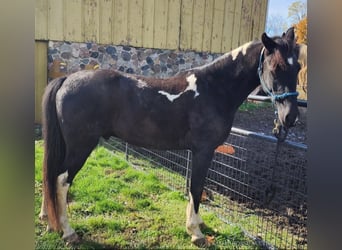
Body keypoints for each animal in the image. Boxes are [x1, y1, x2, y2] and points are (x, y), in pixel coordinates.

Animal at [39, 27, 300, 246]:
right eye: (276, 67)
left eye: (297, 67)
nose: (290, 117)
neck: (214, 89)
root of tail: (66, 79)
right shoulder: (203, 151)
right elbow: (196, 187)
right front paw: (196, 232)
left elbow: (195, 188)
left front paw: (198, 224)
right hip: (81, 147)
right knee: (61, 180)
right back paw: (68, 232)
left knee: (51, 174)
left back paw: (49, 220)